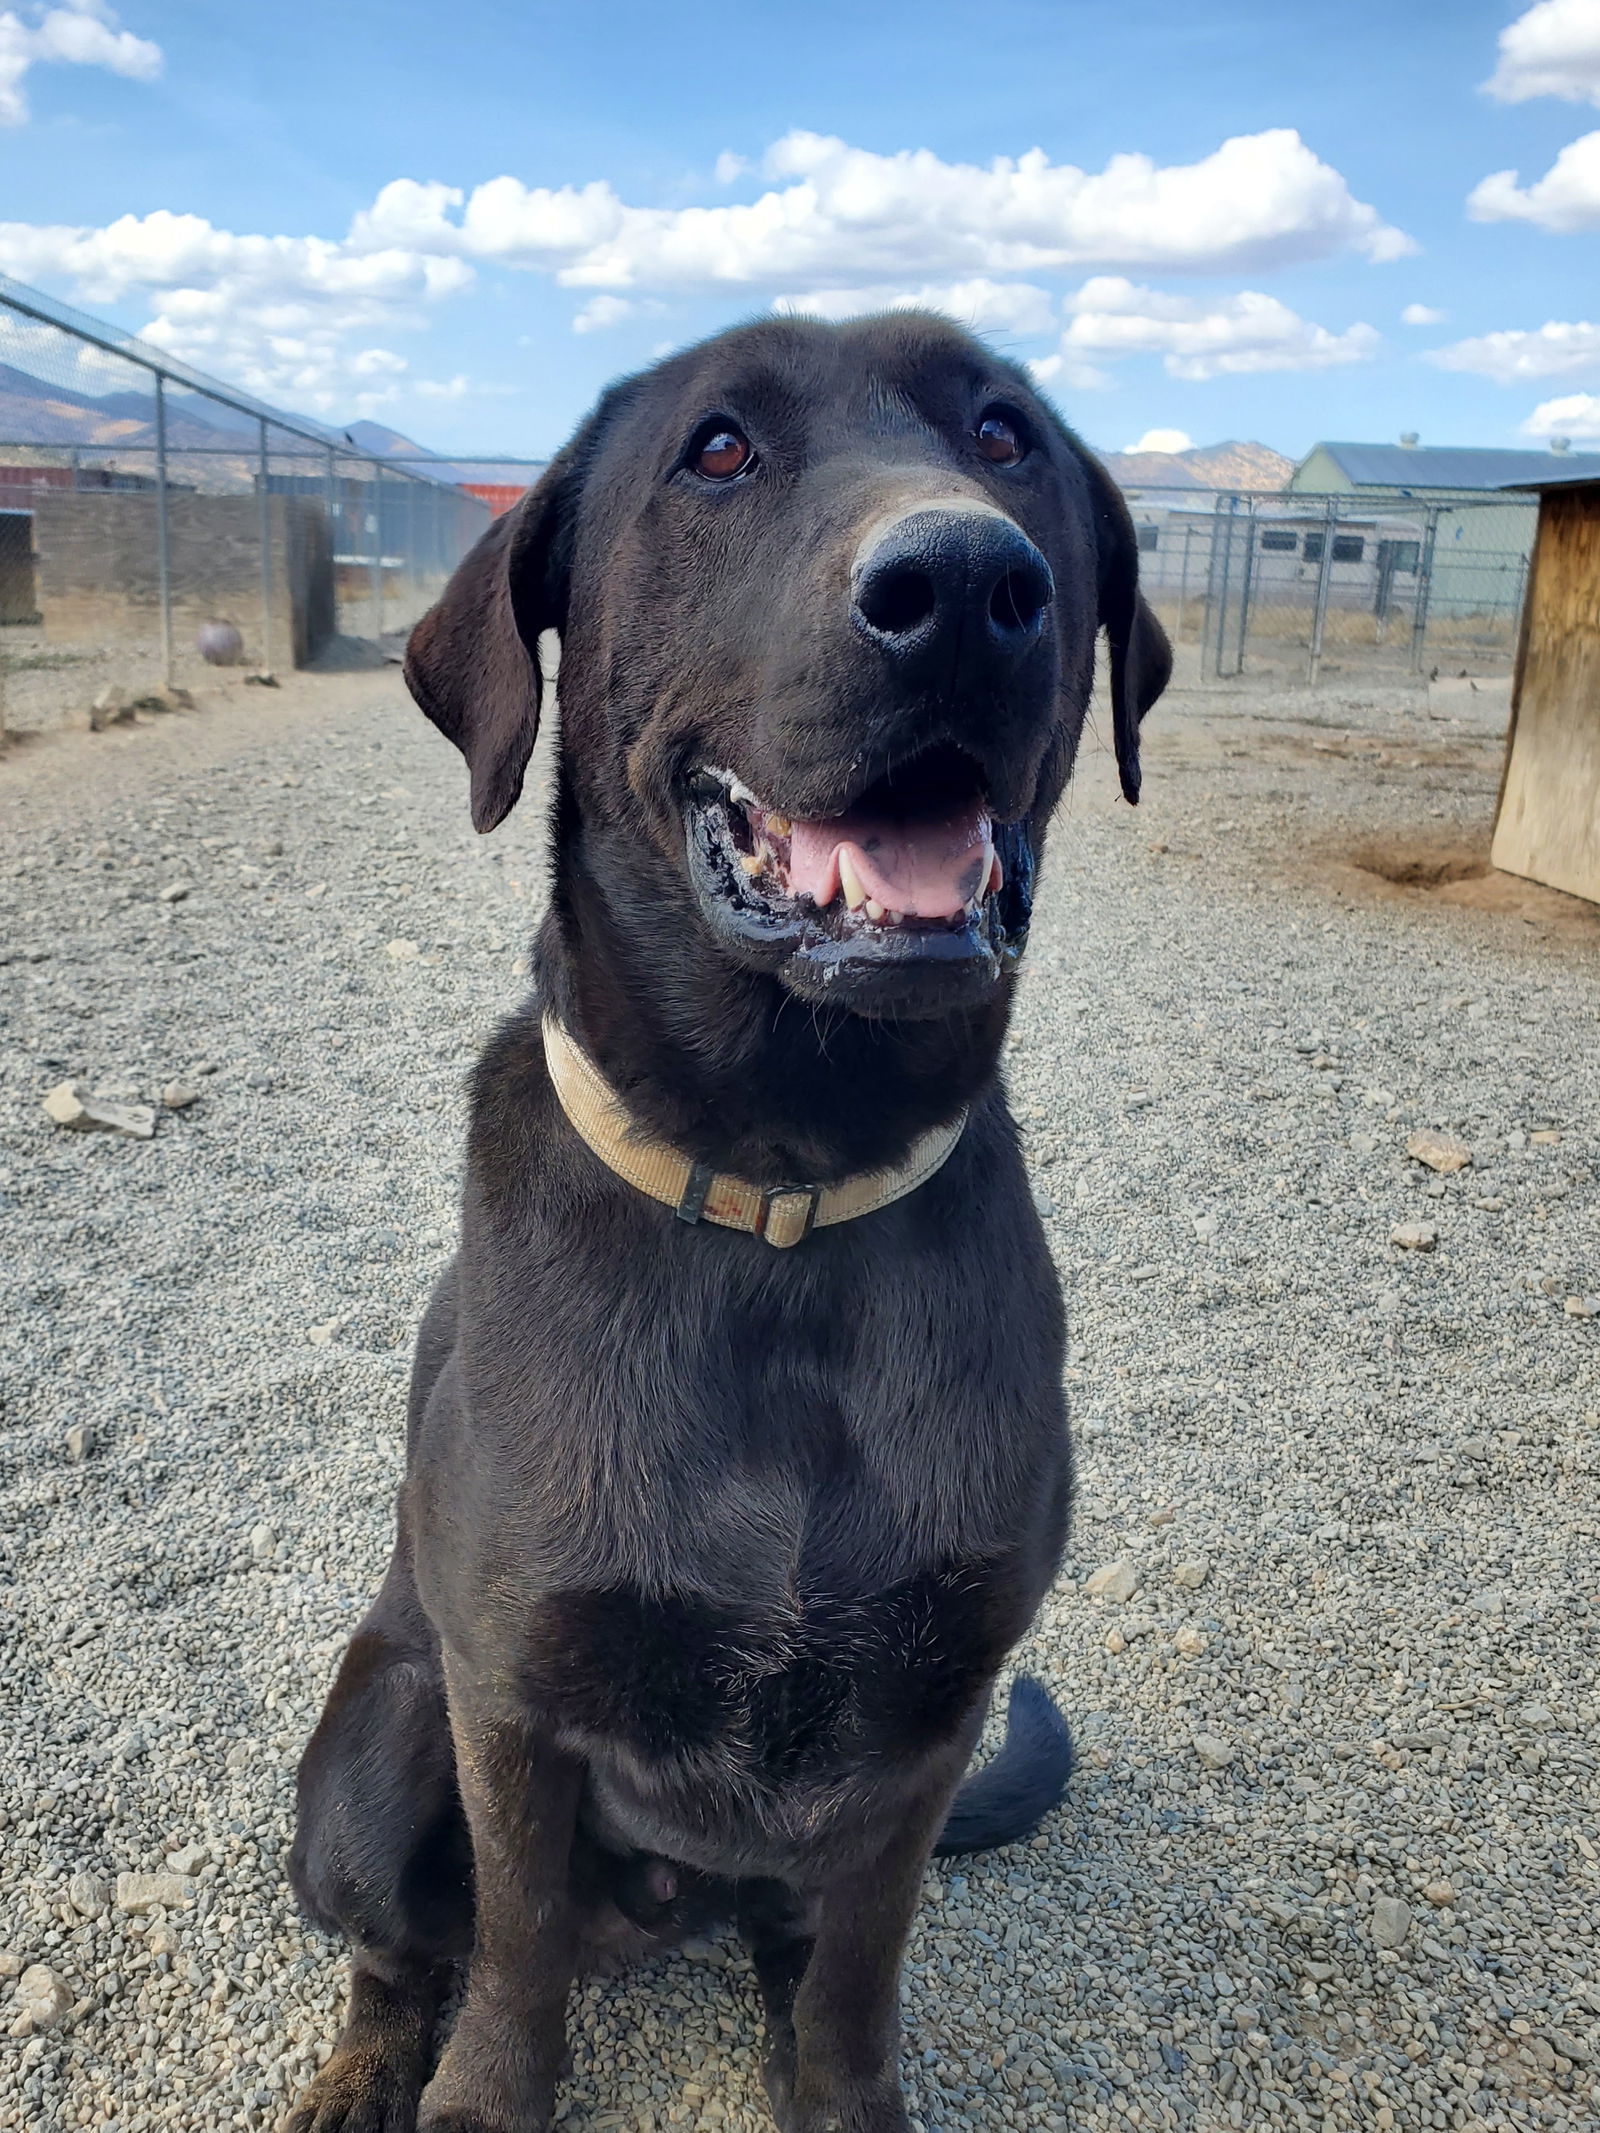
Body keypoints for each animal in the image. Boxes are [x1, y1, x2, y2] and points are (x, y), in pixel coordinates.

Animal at [285, 305, 1169, 2133]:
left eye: (1004, 434)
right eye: (717, 451)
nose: (961, 582)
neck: (783, 1196)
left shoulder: (926, 1722)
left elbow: (854, 1979)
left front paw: (840, 2089)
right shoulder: (508, 1697)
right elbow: (511, 1961)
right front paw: (479, 2086)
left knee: (784, 1940)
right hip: (376, 1745)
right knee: (402, 1945)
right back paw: (365, 2066)